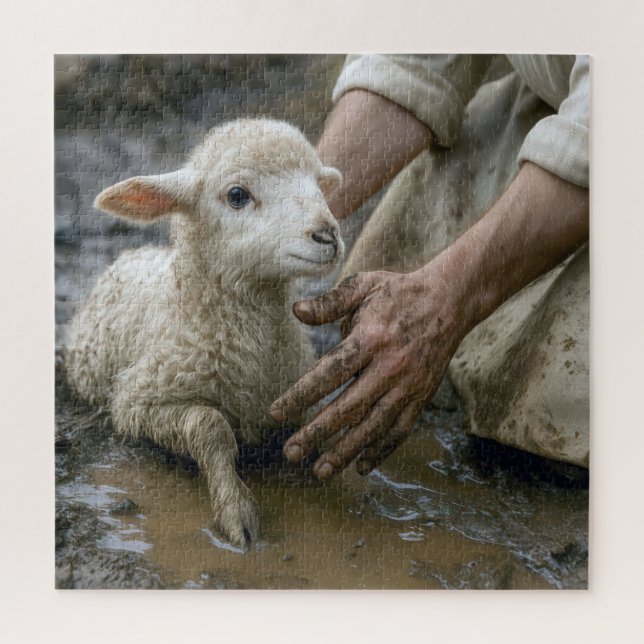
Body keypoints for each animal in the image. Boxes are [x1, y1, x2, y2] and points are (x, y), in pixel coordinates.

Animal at [65, 118, 345, 546]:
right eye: (236, 195)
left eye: (317, 183)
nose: (327, 235)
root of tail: (137, 252)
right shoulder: (136, 401)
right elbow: (209, 426)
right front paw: (236, 511)